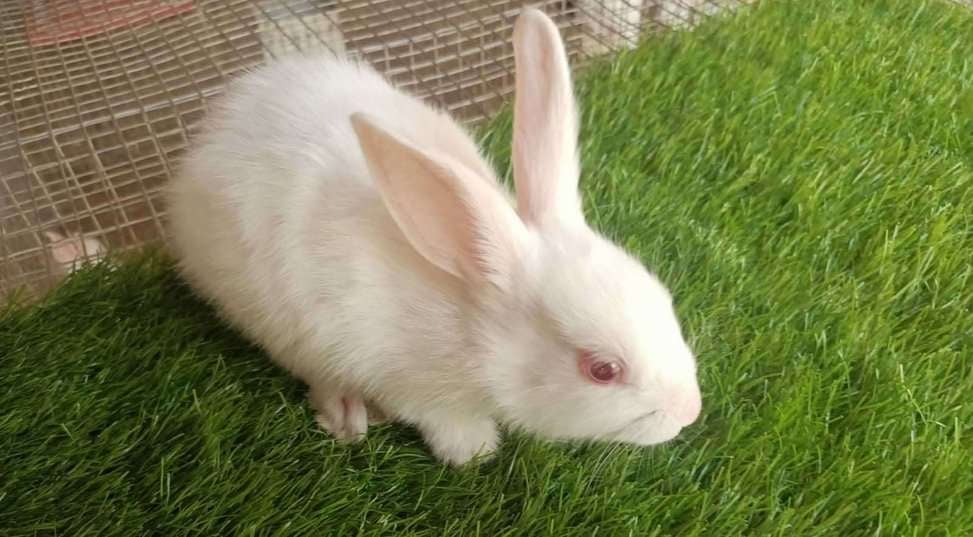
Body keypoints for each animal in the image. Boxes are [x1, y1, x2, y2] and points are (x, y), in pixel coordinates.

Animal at [165, 8, 702, 466]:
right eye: (602, 370)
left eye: (665, 301)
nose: (689, 410)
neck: (468, 323)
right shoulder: (404, 378)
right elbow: (443, 422)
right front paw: (475, 451)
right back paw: (347, 415)